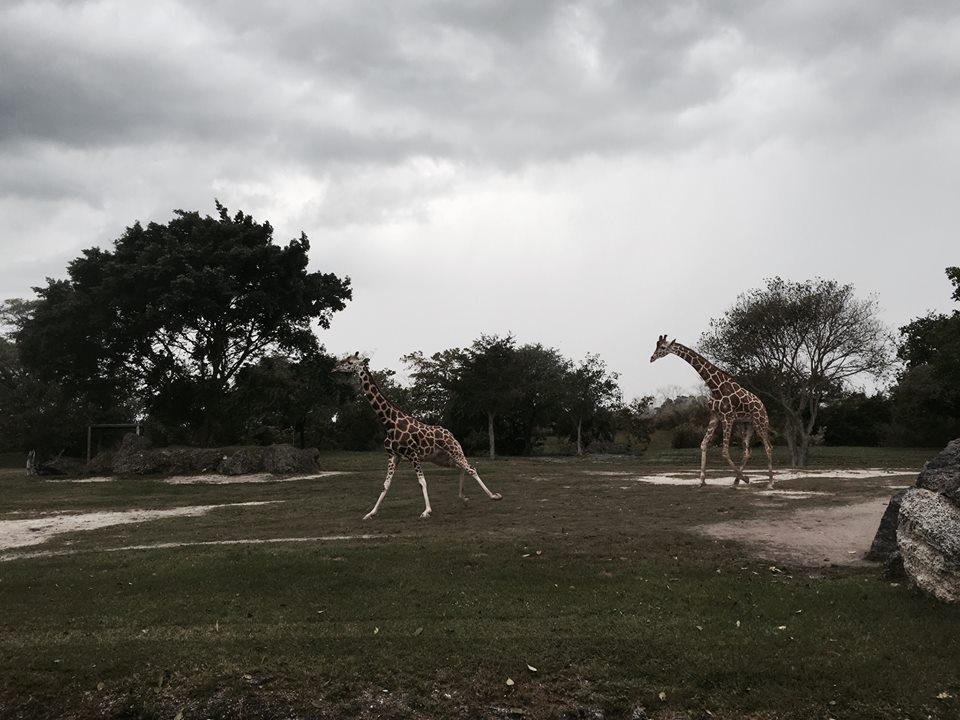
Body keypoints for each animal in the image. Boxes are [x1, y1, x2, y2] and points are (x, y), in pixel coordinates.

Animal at [333, 352, 502, 519]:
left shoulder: (413, 454)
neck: (389, 423)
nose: (335, 367)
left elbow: (422, 481)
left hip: (455, 451)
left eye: (349, 362)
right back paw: (464, 498)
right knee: (462, 468)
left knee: (471, 469)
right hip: (442, 458)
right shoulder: (393, 456)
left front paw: (427, 511)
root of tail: (451, 434)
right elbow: (386, 484)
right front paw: (371, 513)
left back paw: (494, 496)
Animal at [650, 335, 774, 488]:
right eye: (656, 346)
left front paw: (746, 478)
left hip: (760, 422)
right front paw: (702, 480)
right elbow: (703, 444)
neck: (715, 387)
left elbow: (725, 451)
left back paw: (769, 483)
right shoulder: (715, 416)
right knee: (747, 451)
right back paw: (737, 480)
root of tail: (763, 406)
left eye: (662, 347)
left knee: (768, 447)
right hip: (747, 425)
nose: (651, 357)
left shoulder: (728, 417)